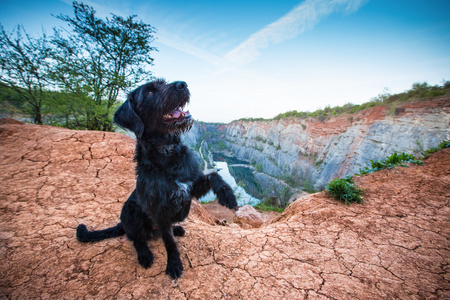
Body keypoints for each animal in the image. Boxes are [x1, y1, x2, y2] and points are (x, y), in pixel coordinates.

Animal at [76, 78, 239, 278]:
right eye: (149, 92)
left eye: (163, 83)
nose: (182, 84)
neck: (167, 154)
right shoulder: (159, 210)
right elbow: (168, 241)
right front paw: (174, 263)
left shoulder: (190, 188)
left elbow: (213, 175)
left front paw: (228, 196)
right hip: (130, 212)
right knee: (137, 239)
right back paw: (144, 254)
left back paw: (176, 228)